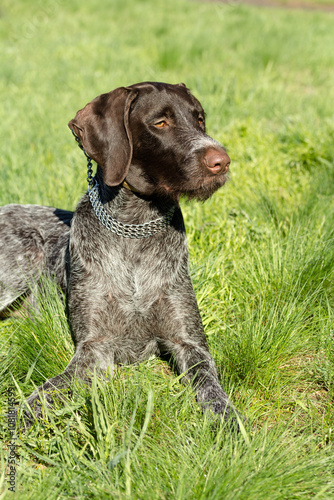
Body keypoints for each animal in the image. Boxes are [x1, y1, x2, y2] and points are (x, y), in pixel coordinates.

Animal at [0, 84, 240, 428]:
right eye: (160, 122)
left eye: (199, 119)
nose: (222, 161)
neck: (134, 227)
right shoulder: (94, 348)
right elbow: (46, 391)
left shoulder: (190, 343)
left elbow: (211, 387)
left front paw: (230, 422)